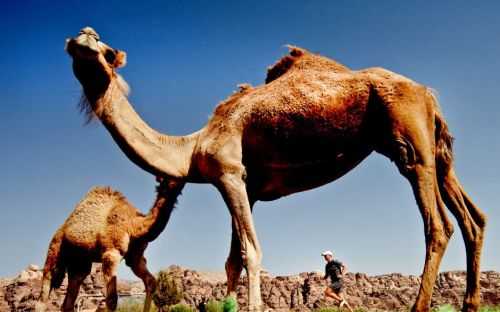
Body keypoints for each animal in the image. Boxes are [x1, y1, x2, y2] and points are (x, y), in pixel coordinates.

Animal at [38, 177, 184, 310]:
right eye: (168, 177)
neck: (133, 226)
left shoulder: (135, 258)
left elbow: (151, 282)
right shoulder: (111, 253)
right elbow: (112, 299)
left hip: (80, 263)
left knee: (69, 300)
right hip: (56, 248)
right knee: (45, 289)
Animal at [64, 27, 486, 312]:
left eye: (105, 49)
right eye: (80, 42)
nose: (83, 36)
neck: (193, 147)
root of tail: (428, 93)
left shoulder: (229, 173)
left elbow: (251, 251)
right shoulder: (248, 188)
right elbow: (231, 260)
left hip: (408, 137)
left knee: (439, 224)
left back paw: (423, 304)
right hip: (436, 150)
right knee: (473, 219)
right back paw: (470, 302)